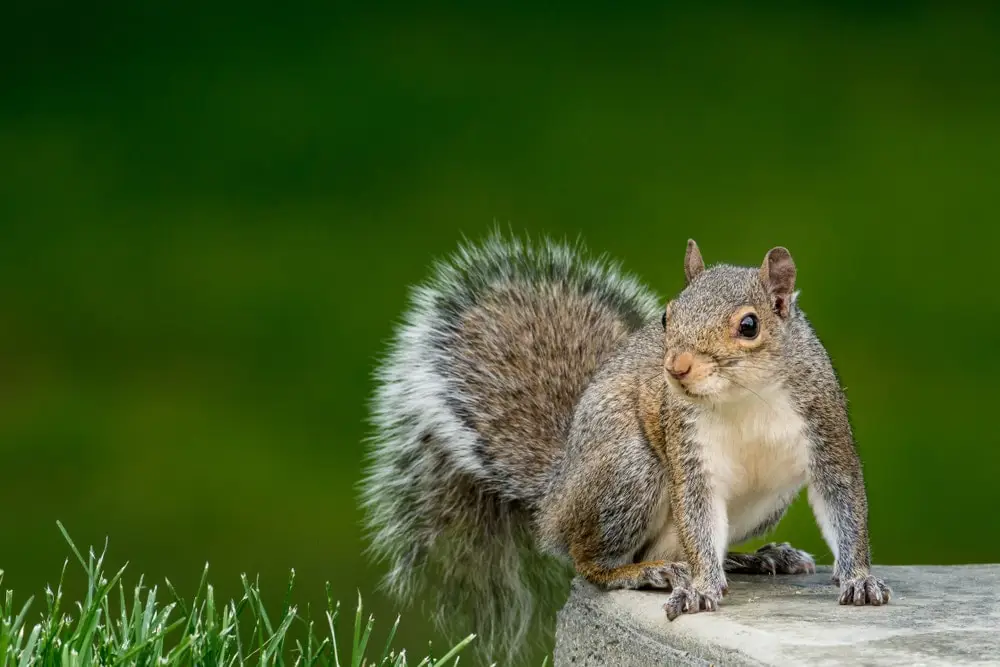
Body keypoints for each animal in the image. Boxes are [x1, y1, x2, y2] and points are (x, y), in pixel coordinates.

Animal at [358, 232, 884, 664]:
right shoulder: (687, 450)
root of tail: (555, 497)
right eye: (667, 315)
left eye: (749, 326)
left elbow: (844, 502)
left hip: (758, 504)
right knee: (594, 562)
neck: (742, 397)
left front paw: (858, 577)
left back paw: (754, 558)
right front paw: (701, 589)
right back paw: (653, 572)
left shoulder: (826, 429)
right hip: (630, 473)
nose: (676, 367)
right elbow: (696, 514)